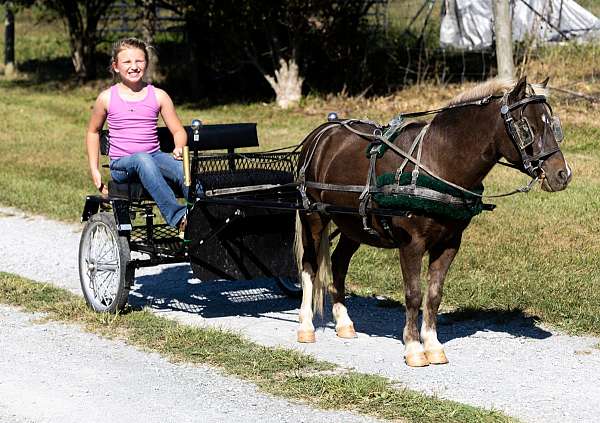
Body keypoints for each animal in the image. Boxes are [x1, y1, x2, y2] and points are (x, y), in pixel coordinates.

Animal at [296, 77, 572, 368]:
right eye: (527, 127)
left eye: (553, 125)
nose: (562, 174)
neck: (438, 161)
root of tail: (322, 133)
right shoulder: (411, 245)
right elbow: (414, 295)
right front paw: (414, 348)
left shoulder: (449, 243)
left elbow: (434, 294)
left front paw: (433, 345)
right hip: (313, 216)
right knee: (310, 265)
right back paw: (306, 326)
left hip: (353, 225)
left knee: (339, 263)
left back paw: (344, 323)